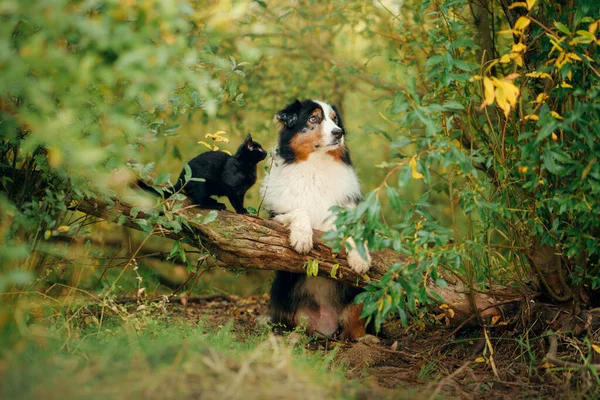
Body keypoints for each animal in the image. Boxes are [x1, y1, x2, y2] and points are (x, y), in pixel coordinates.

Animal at [262, 98, 370, 340]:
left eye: (335, 119)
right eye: (313, 119)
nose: (339, 132)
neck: (316, 167)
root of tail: (326, 322)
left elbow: (351, 229)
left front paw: (360, 259)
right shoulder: (275, 217)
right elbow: (300, 211)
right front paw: (302, 238)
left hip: (358, 295)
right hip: (282, 295)